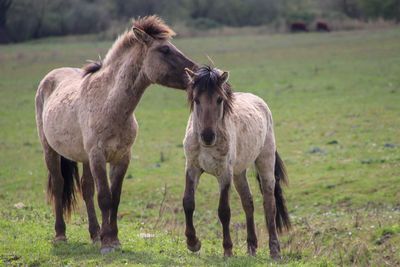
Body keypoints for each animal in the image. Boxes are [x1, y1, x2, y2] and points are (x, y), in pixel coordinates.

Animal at [34, 15, 197, 254]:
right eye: (165, 49)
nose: (197, 72)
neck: (109, 104)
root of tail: (49, 78)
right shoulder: (98, 156)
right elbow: (104, 197)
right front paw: (108, 242)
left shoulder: (122, 157)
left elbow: (115, 197)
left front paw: (112, 238)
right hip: (50, 150)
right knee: (58, 184)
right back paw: (61, 234)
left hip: (84, 157)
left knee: (86, 188)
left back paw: (94, 234)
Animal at [182, 66, 290, 260]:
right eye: (196, 99)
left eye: (219, 99)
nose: (207, 136)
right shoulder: (192, 168)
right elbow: (188, 202)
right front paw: (193, 243)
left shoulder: (225, 174)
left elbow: (224, 211)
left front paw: (228, 249)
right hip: (239, 173)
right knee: (248, 202)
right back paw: (252, 247)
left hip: (265, 163)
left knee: (269, 204)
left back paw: (275, 251)